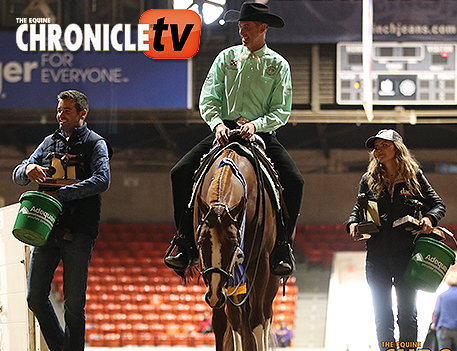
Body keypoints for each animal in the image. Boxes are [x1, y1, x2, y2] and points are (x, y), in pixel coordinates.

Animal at [191, 138, 278, 351]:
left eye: (233, 243)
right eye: (201, 243)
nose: (214, 296)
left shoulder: (260, 264)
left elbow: (257, 321)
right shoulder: (222, 278)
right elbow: (232, 321)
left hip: (271, 276)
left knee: (266, 314)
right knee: (227, 320)